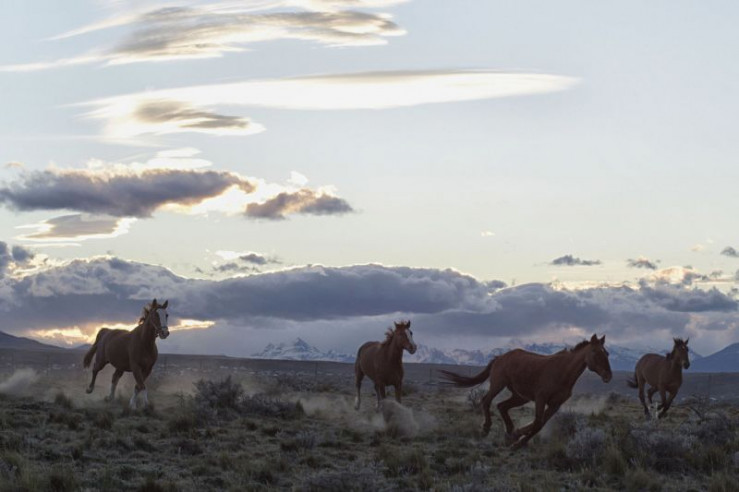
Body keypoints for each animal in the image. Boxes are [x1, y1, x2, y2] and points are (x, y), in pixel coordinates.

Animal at [439, 334, 612, 448]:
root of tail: (499, 357)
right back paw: (486, 429)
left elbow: (540, 424)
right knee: (486, 401)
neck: (563, 372)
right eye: (595, 352)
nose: (608, 376)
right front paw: (517, 438)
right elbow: (537, 422)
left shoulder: (555, 404)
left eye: (607, 353)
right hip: (498, 384)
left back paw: (508, 431)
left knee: (502, 406)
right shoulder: (541, 398)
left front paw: (517, 438)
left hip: (520, 396)